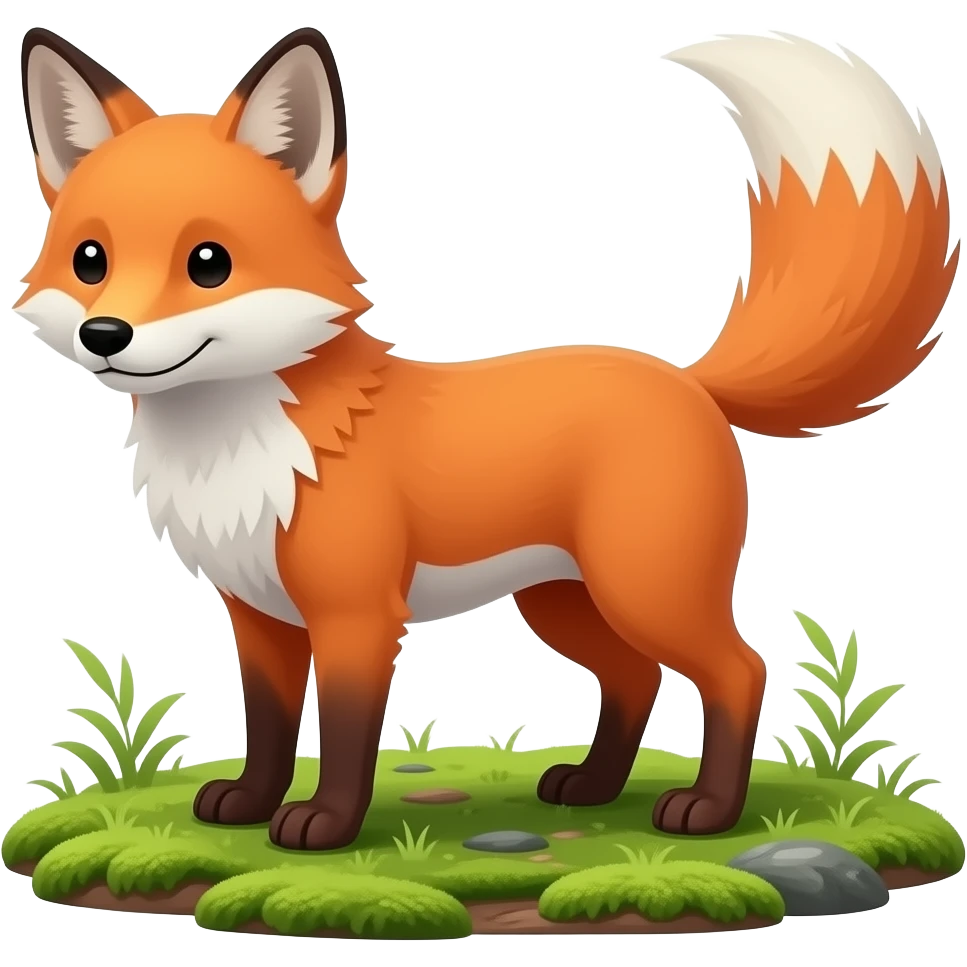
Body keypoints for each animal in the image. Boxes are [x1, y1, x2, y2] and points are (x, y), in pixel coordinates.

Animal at [14, 26, 958, 851]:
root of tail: (689, 380)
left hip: (644, 588)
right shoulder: (258, 616)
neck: (240, 444)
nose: (105, 335)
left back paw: (707, 811)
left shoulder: (357, 616)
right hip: (563, 600)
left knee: (738, 669)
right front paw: (248, 804)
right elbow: (271, 727)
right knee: (635, 677)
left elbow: (346, 735)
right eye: (90, 259)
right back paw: (592, 786)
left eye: (208, 262)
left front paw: (324, 827)